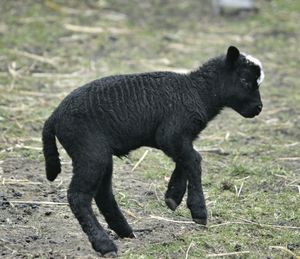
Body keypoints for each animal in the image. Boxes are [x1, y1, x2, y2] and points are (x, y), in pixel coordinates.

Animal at [42, 45, 264, 256]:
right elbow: (194, 160)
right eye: (245, 80)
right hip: (89, 151)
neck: (199, 92)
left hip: (100, 154)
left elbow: (186, 161)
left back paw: (124, 231)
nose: (259, 108)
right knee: (78, 196)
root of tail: (54, 117)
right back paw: (104, 244)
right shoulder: (171, 134)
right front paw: (198, 211)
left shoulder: (179, 138)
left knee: (102, 193)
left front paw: (173, 197)